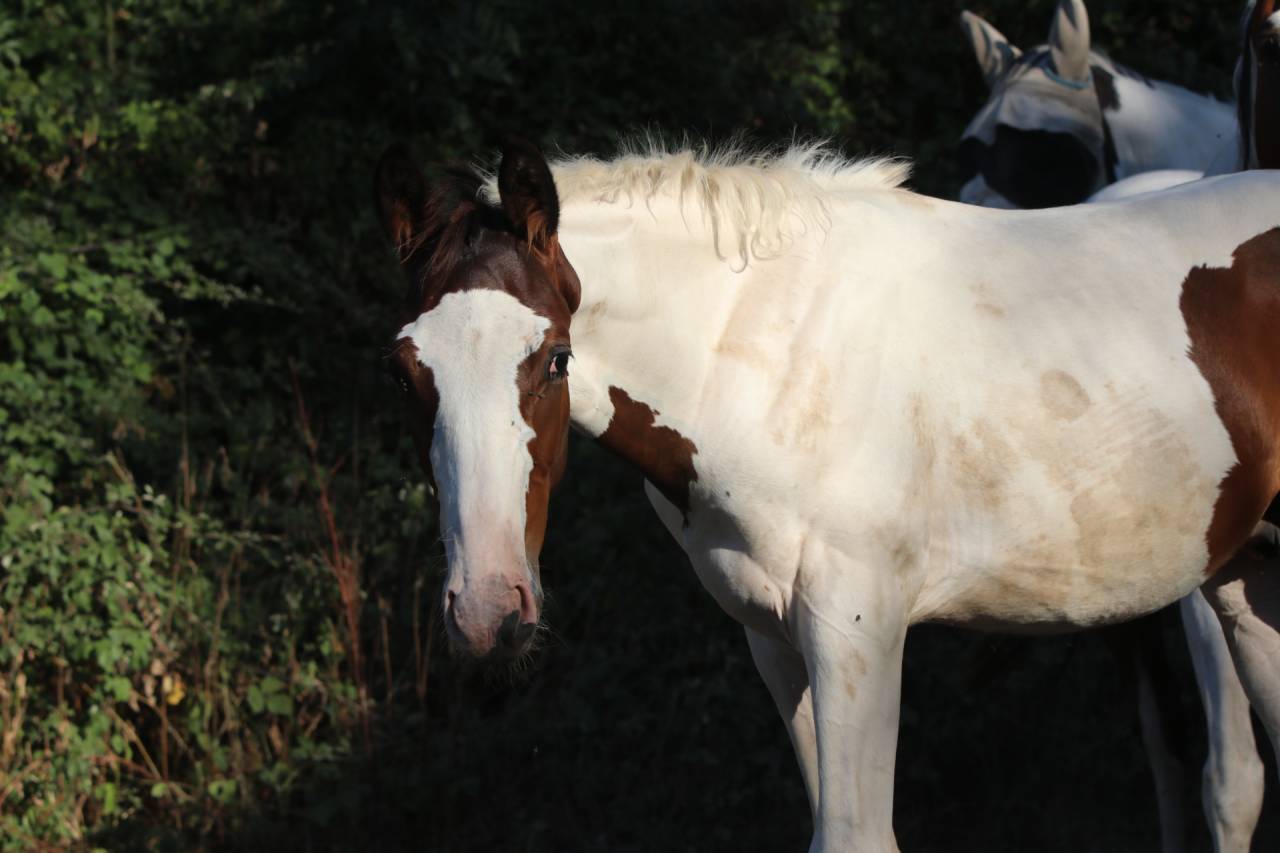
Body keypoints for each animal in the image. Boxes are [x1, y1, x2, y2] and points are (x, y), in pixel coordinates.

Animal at [376, 137, 1280, 852]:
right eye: (406, 372)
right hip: (1248, 586)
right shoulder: (777, 642)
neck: (769, 357)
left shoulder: (858, 634)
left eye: (554, 357)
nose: (488, 611)